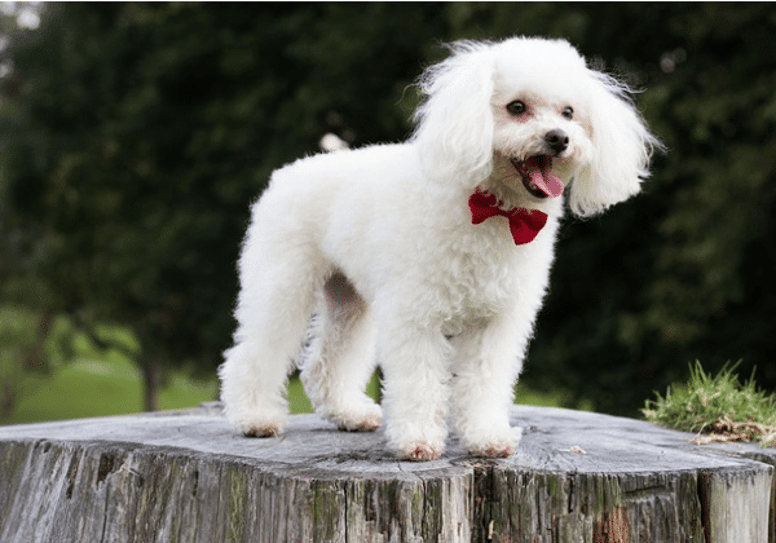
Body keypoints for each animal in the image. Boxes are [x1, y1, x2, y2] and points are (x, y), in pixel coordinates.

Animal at [218, 36, 660, 462]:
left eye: (569, 112)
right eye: (517, 107)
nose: (558, 138)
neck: (493, 209)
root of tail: (288, 172)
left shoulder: (495, 321)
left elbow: (484, 381)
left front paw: (487, 437)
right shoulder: (415, 316)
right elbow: (419, 380)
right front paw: (417, 441)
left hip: (349, 298)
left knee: (325, 363)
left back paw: (350, 414)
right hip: (283, 282)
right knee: (255, 352)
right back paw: (255, 418)